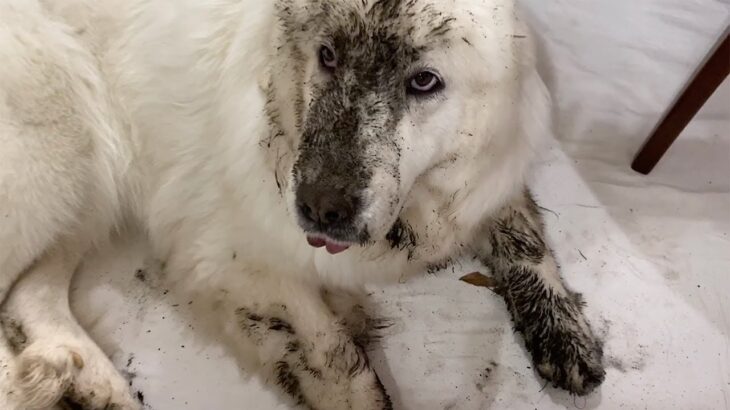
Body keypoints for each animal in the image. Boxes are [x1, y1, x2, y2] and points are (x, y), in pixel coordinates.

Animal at [0, 0, 604, 408]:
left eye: (424, 81)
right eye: (327, 56)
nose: (320, 208)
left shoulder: (486, 181)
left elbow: (524, 240)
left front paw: (566, 332)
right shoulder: (231, 256)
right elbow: (335, 358)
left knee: (30, 295)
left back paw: (85, 379)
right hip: (61, 159)